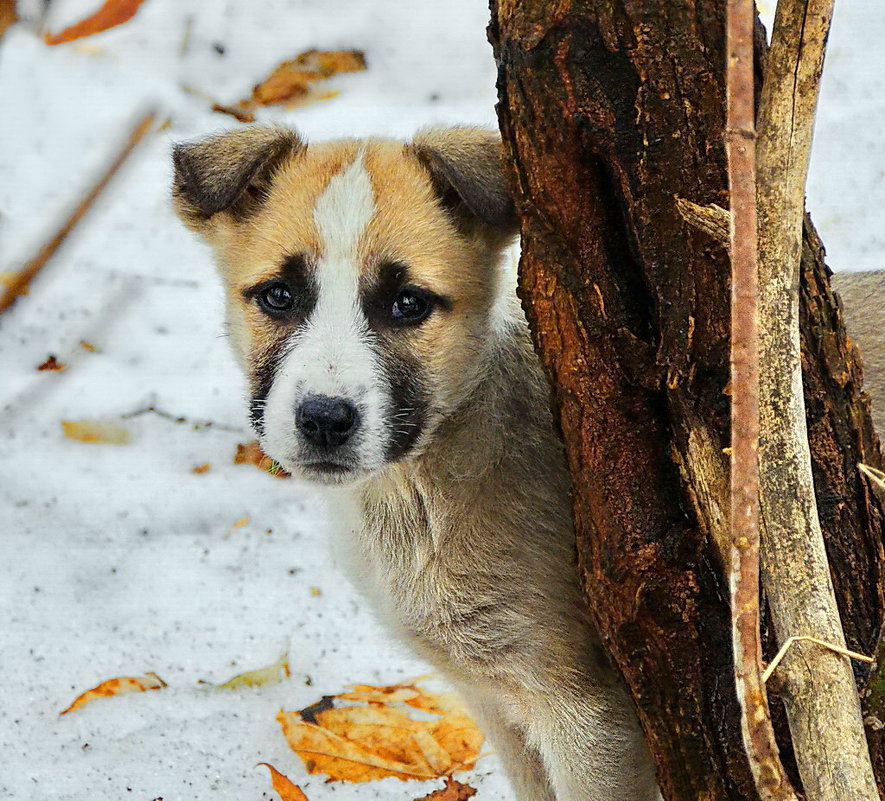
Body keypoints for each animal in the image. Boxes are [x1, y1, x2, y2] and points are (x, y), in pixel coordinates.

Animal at [173, 126, 656, 800]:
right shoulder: (499, 706)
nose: (324, 419)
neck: (417, 495)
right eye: (279, 296)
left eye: (407, 304)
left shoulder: (583, 711)